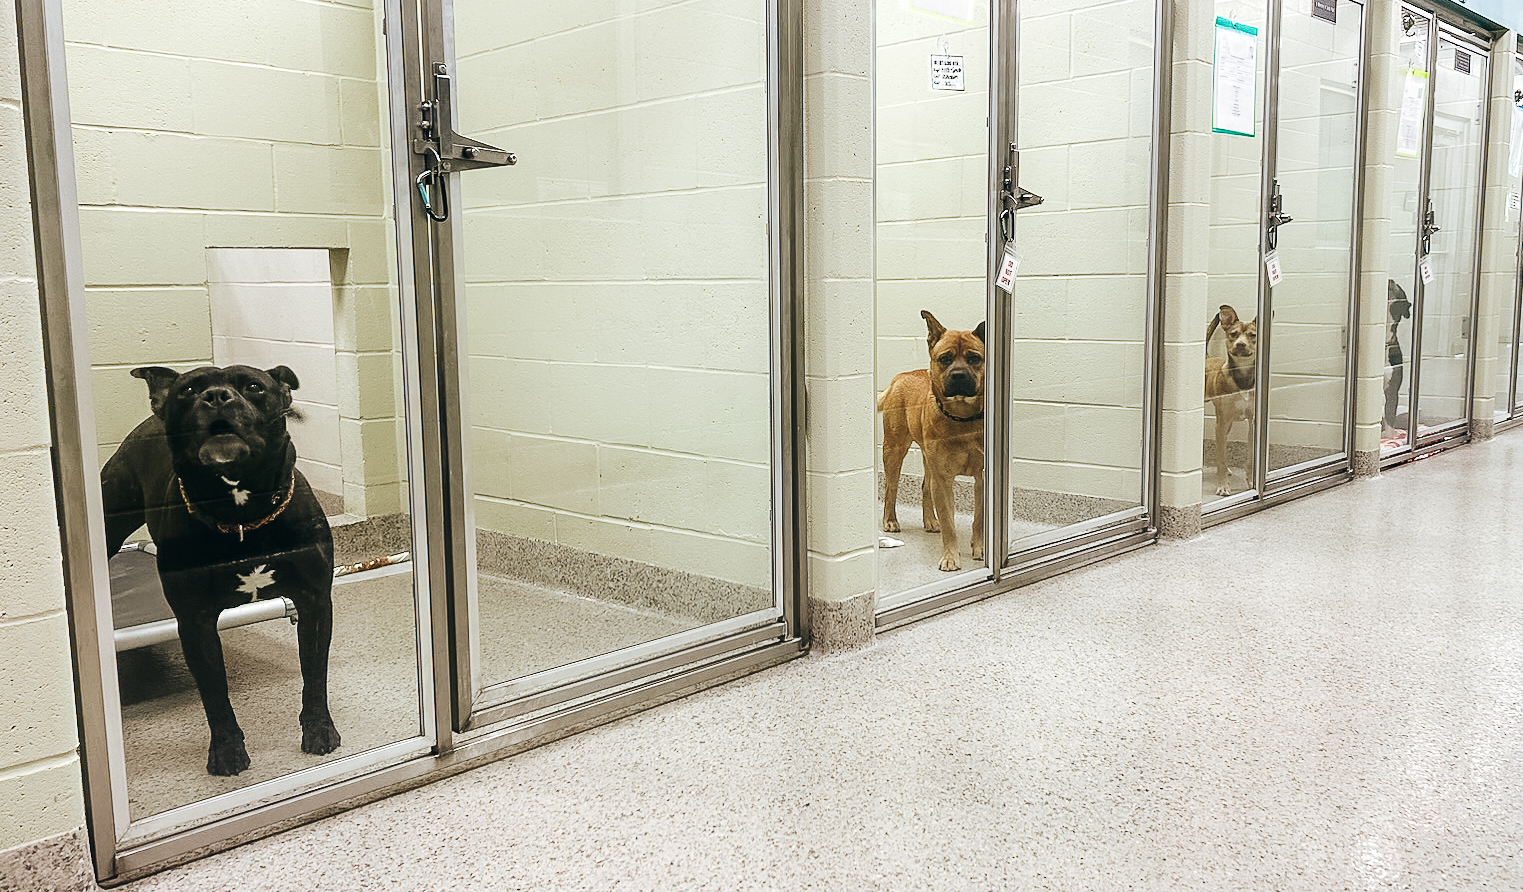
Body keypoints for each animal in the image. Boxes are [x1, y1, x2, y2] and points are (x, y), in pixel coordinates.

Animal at [101, 365, 339, 776]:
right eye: (188, 390)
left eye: (254, 386)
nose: (215, 396)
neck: (241, 513)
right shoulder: (194, 622)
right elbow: (214, 693)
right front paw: (227, 750)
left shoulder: (314, 602)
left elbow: (314, 674)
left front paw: (319, 730)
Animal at [878, 310, 986, 572]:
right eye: (945, 358)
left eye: (974, 358)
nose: (958, 376)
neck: (962, 418)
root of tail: (900, 377)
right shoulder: (944, 479)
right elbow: (949, 522)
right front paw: (950, 557)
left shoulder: (982, 477)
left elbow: (979, 518)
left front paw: (979, 548)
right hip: (894, 449)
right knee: (890, 488)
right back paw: (890, 520)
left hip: (928, 460)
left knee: (925, 486)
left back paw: (929, 520)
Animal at [1204, 304, 1257, 496]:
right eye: (1233, 334)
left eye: (1252, 335)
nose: (1240, 344)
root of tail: (1207, 357)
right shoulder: (1221, 423)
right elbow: (1221, 458)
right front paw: (1223, 486)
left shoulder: (1253, 423)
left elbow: (1250, 458)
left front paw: (1251, 482)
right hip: (1221, 423)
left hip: (1227, 424)